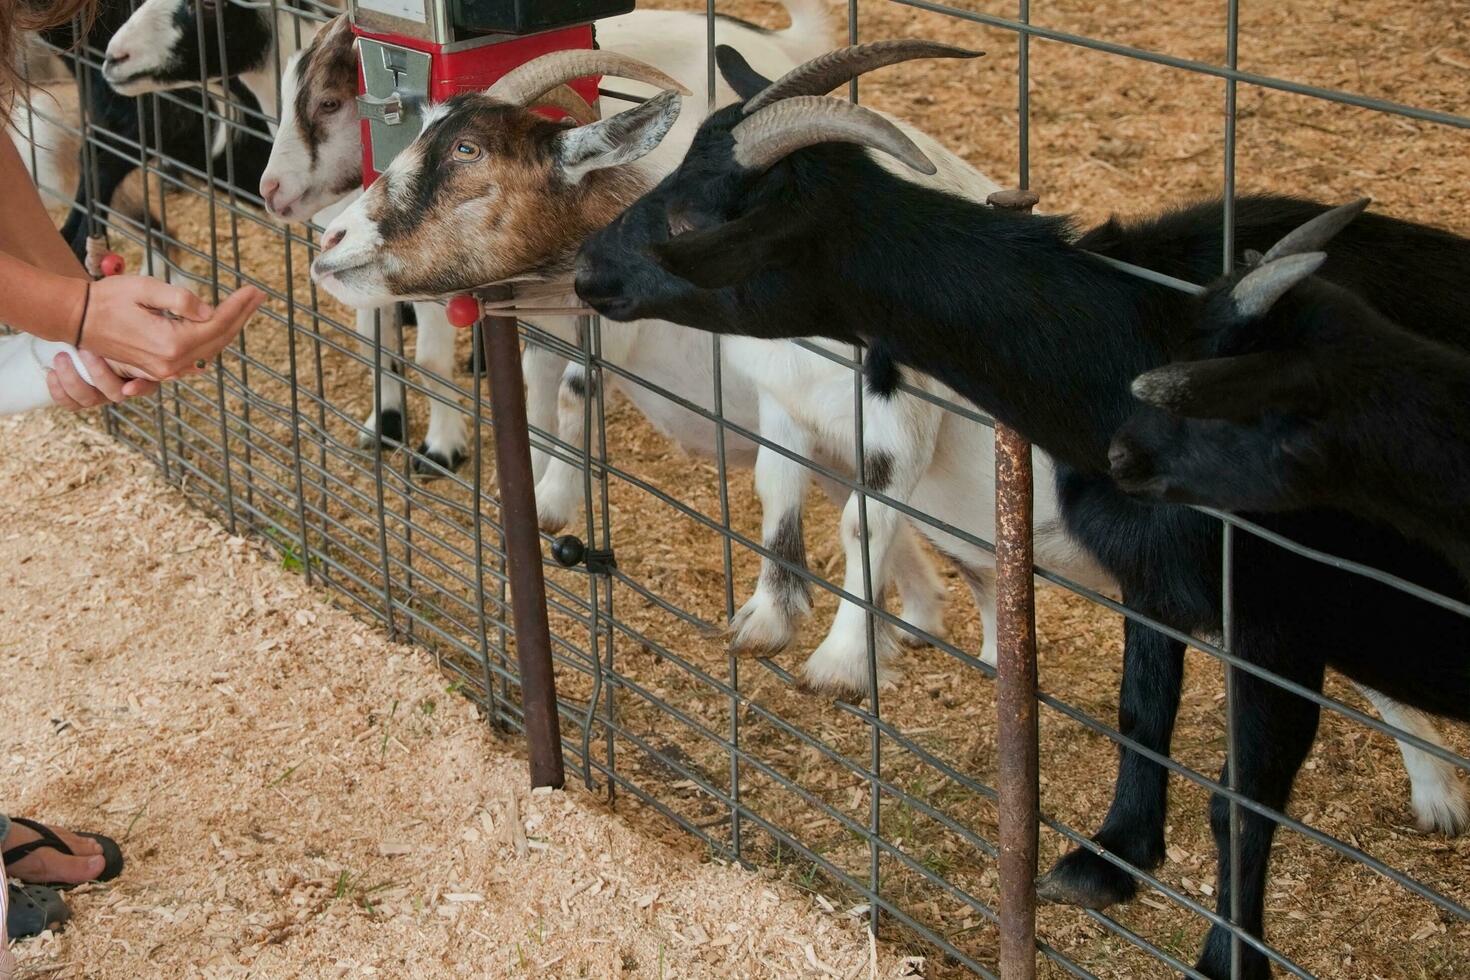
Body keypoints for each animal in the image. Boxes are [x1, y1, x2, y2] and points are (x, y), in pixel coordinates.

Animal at [570, 40, 1470, 980]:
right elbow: (1140, 707)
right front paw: (1106, 861)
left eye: (689, 222)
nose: (587, 270)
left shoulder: (1269, 613)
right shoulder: (1150, 575)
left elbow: (1242, 798)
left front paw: (1226, 955)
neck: (1130, 345)